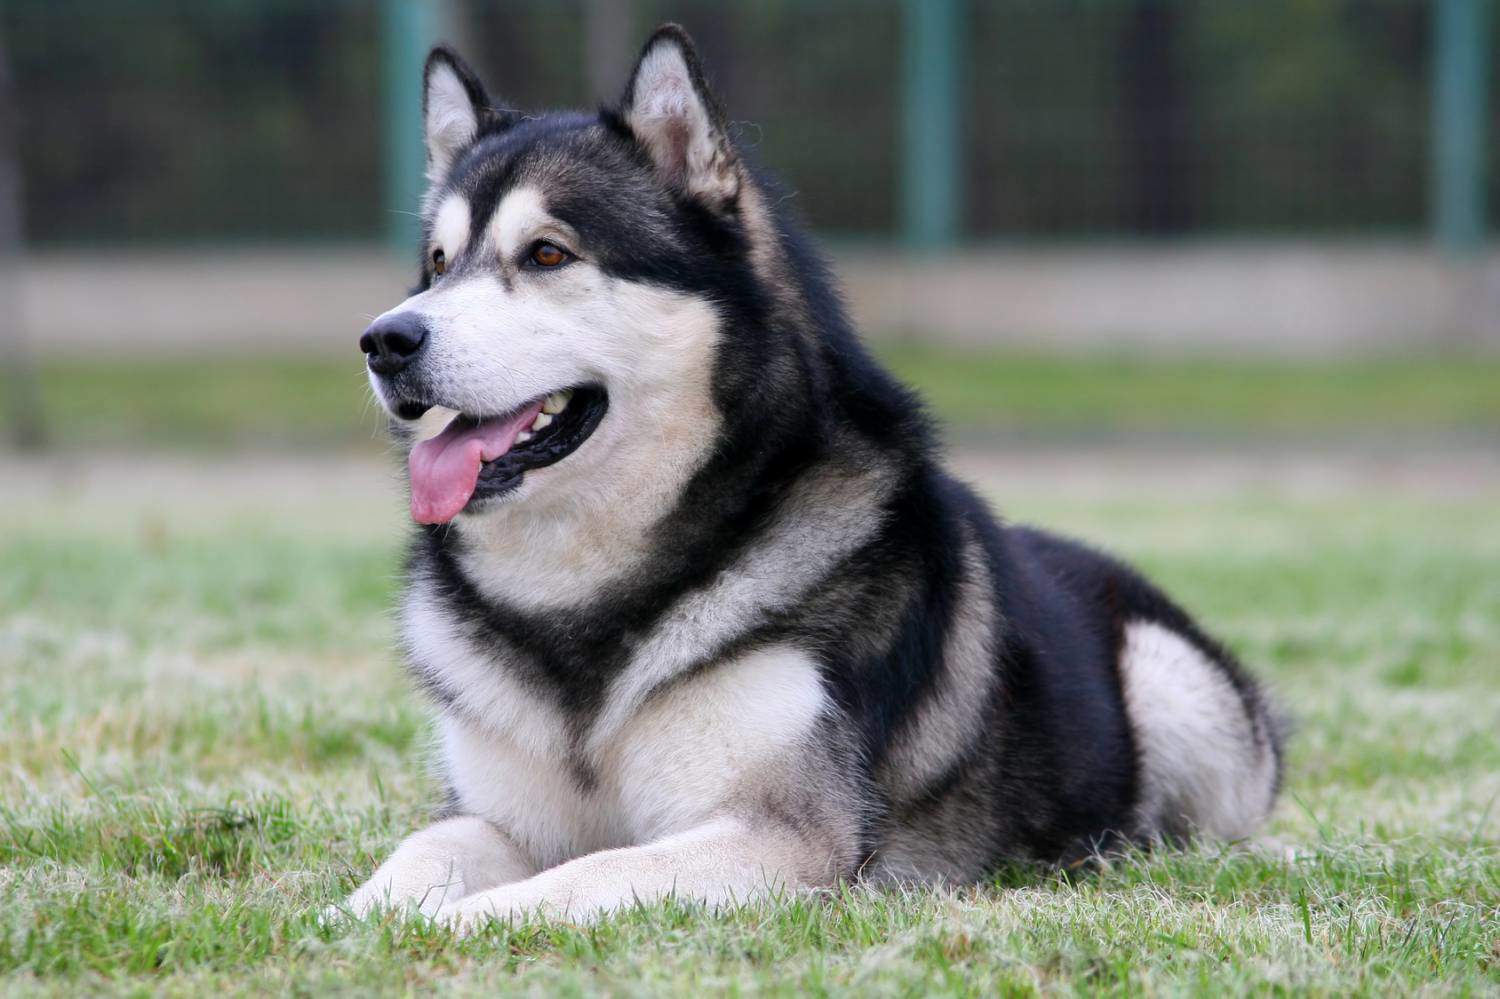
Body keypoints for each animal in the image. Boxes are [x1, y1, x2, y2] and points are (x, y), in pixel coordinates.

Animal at [340, 23, 1278, 924]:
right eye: (437, 264)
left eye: (544, 255)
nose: (385, 340)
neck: (583, 597)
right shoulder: (496, 814)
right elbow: (420, 853)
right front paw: (356, 918)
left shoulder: (783, 833)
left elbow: (582, 873)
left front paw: (462, 919)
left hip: (1173, 682)